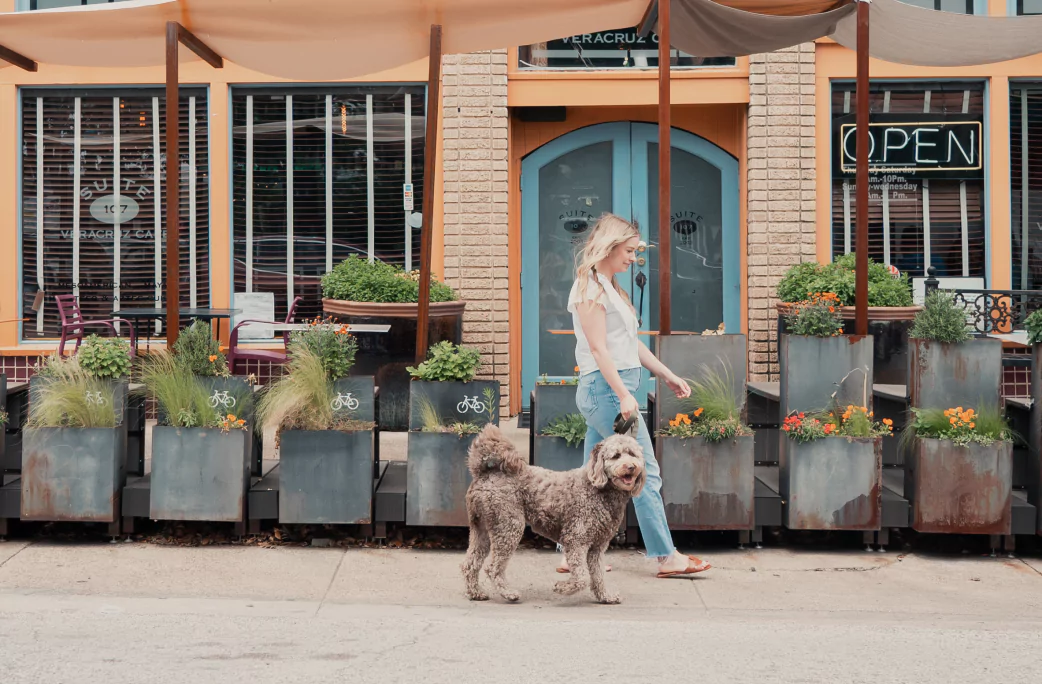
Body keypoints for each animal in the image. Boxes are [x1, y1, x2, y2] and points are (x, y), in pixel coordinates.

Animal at [462, 425, 641, 604]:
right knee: (492, 568)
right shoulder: (576, 540)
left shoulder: (597, 548)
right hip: (509, 526)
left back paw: (475, 592)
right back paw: (508, 593)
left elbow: (598, 575)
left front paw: (605, 596)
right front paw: (563, 588)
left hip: (482, 529)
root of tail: (484, 473)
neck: (598, 489)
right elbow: (582, 577)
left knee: (469, 564)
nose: (631, 467)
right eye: (616, 456)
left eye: (632, 454)